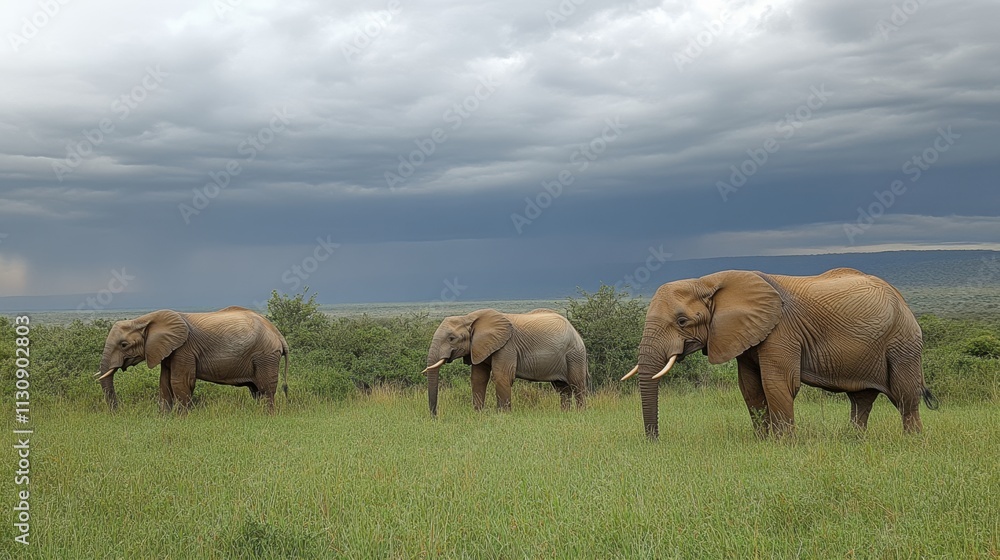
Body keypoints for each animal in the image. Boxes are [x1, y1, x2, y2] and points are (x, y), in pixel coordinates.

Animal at [96, 306, 289, 412]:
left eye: (123, 345)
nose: (117, 412)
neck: (144, 319)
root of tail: (278, 334)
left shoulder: (185, 349)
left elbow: (179, 382)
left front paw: (182, 419)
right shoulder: (168, 350)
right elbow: (164, 383)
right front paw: (164, 418)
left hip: (265, 356)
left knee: (265, 389)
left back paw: (266, 416)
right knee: (256, 390)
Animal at [422, 308, 588, 415]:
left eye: (451, 338)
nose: (435, 416)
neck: (468, 317)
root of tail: (575, 331)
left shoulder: (507, 346)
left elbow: (502, 376)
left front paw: (503, 416)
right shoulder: (480, 347)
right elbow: (478, 378)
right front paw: (478, 415)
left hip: (574, 354)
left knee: (576, 384)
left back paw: (580, 414)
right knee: (562, 388)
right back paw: (565, 414)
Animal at [622, 268, 938, 439]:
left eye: (682, 321)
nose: (654, 441)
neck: (708, 281)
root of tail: (902, 299)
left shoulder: (781, 331)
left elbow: (778, 384)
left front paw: (783, 445)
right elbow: (750, 387)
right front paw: (762, 442)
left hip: (903, 341)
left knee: (905, 397)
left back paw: (912, 442)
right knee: (862, 399)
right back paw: (853, 441)